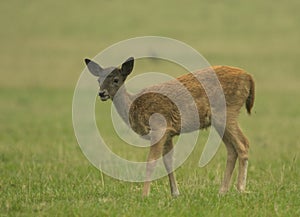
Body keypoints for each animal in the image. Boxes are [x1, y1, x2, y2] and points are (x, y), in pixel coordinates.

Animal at [84, 56, 255, 198]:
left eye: (116, 79)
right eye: (98, 80)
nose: (102, 93)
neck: (134, 105)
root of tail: (249, 77)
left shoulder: (159, 127)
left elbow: (151, 161)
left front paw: (144, 195)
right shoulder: (169, 133)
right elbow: (168, 162)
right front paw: (175, 193)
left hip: (227, 111)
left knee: (243, 144)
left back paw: (240, 188)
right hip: (219, 119)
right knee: (232, 149)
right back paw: (222, 191)